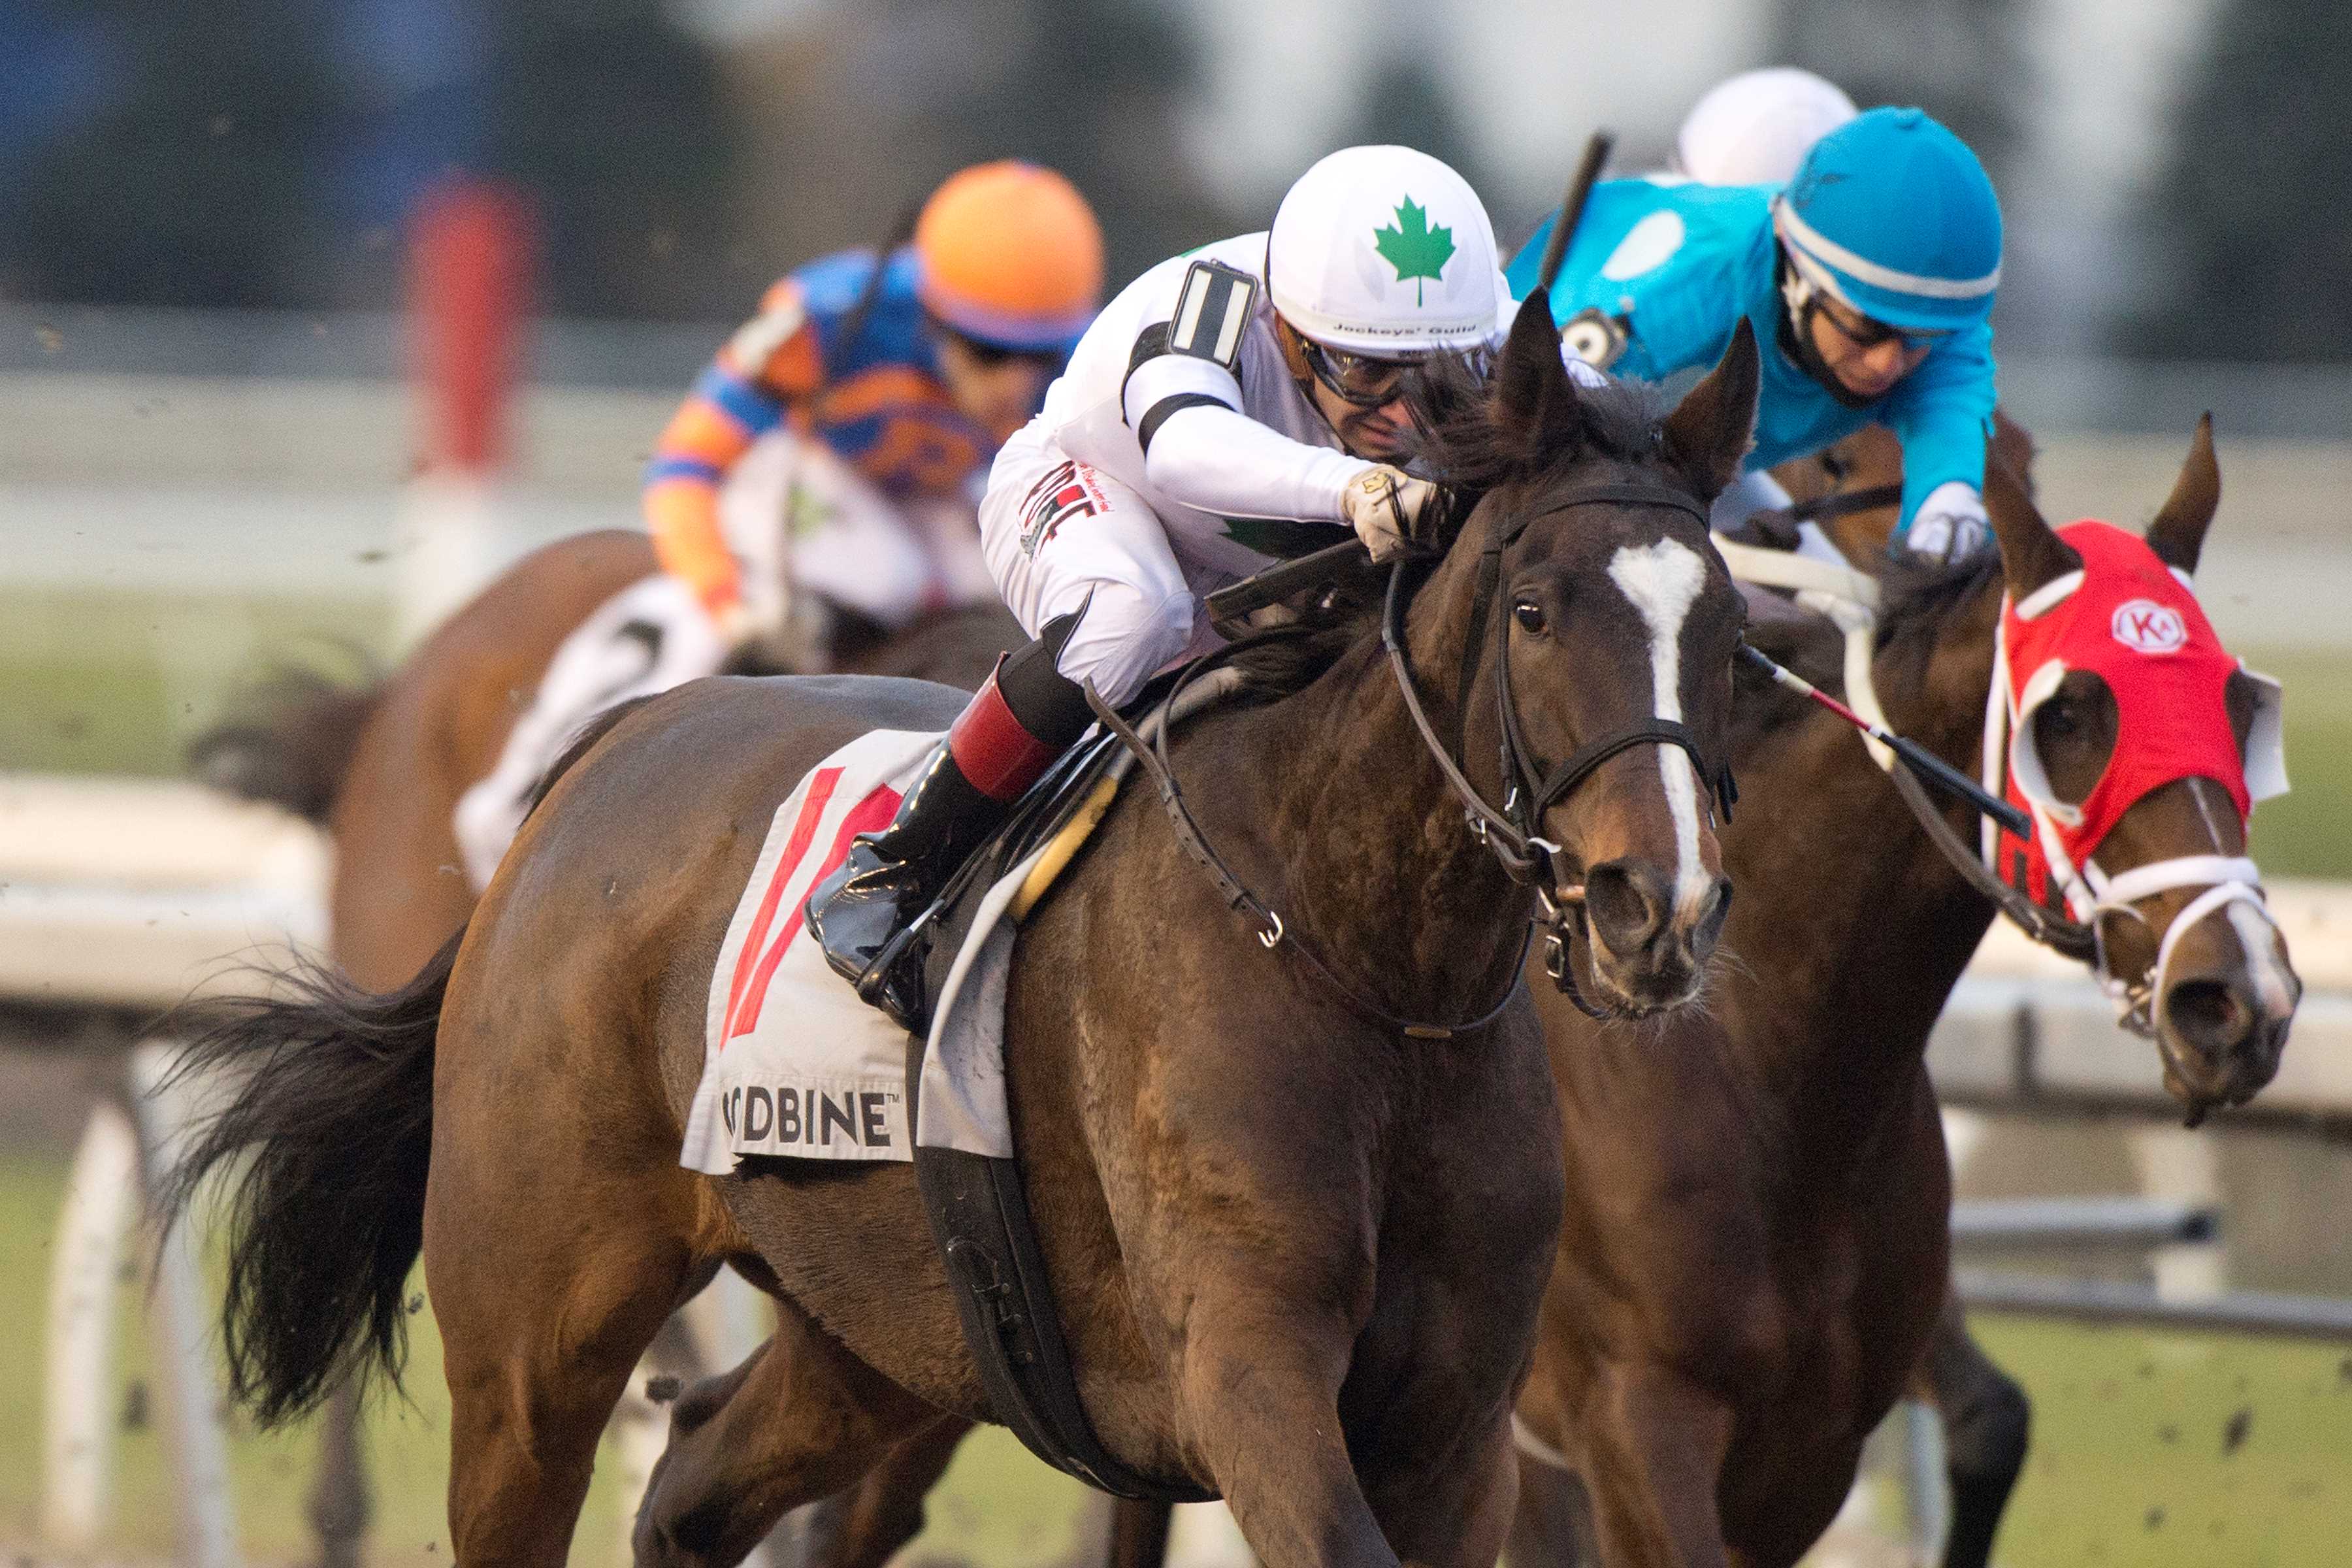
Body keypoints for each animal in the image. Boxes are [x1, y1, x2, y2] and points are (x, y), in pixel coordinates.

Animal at [165, 301, 1769, 1568]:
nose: (1659, 908)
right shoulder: (1249, 1372)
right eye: (1536, 609)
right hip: (531, 1331)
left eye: (1731, 632)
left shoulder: (1454, 1430)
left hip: (879, 1331)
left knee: (690, 1490)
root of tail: (611, 745)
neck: (1362, 960)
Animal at [1505, 416, 2295, 1568]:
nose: (2237, 999)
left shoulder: (1811, 1441)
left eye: (2239, 706)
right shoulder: (1630, 1415)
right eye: (2070, 715)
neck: (1763, 1066)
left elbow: (1990, 1423)